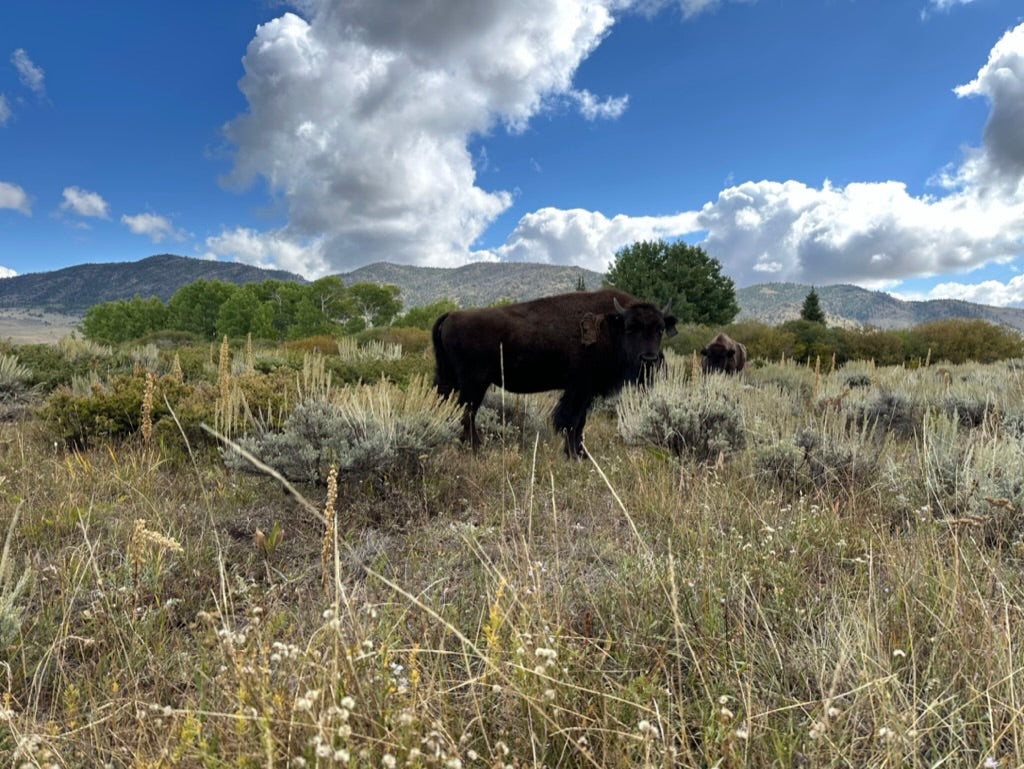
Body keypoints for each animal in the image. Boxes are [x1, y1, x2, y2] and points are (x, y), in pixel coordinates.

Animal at [430, 288, 675, 456]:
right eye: (631, 328)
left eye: (660, 329)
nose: (650, 359)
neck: (610, 326)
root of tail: (452, 315)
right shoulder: (579, 388)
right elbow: (570, 420)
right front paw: (574, 454)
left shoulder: (586, 392)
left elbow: (579, 421)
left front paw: (580, 454)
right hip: (474, 384)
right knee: (467, 412)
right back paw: (476, 449)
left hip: (448, 380)